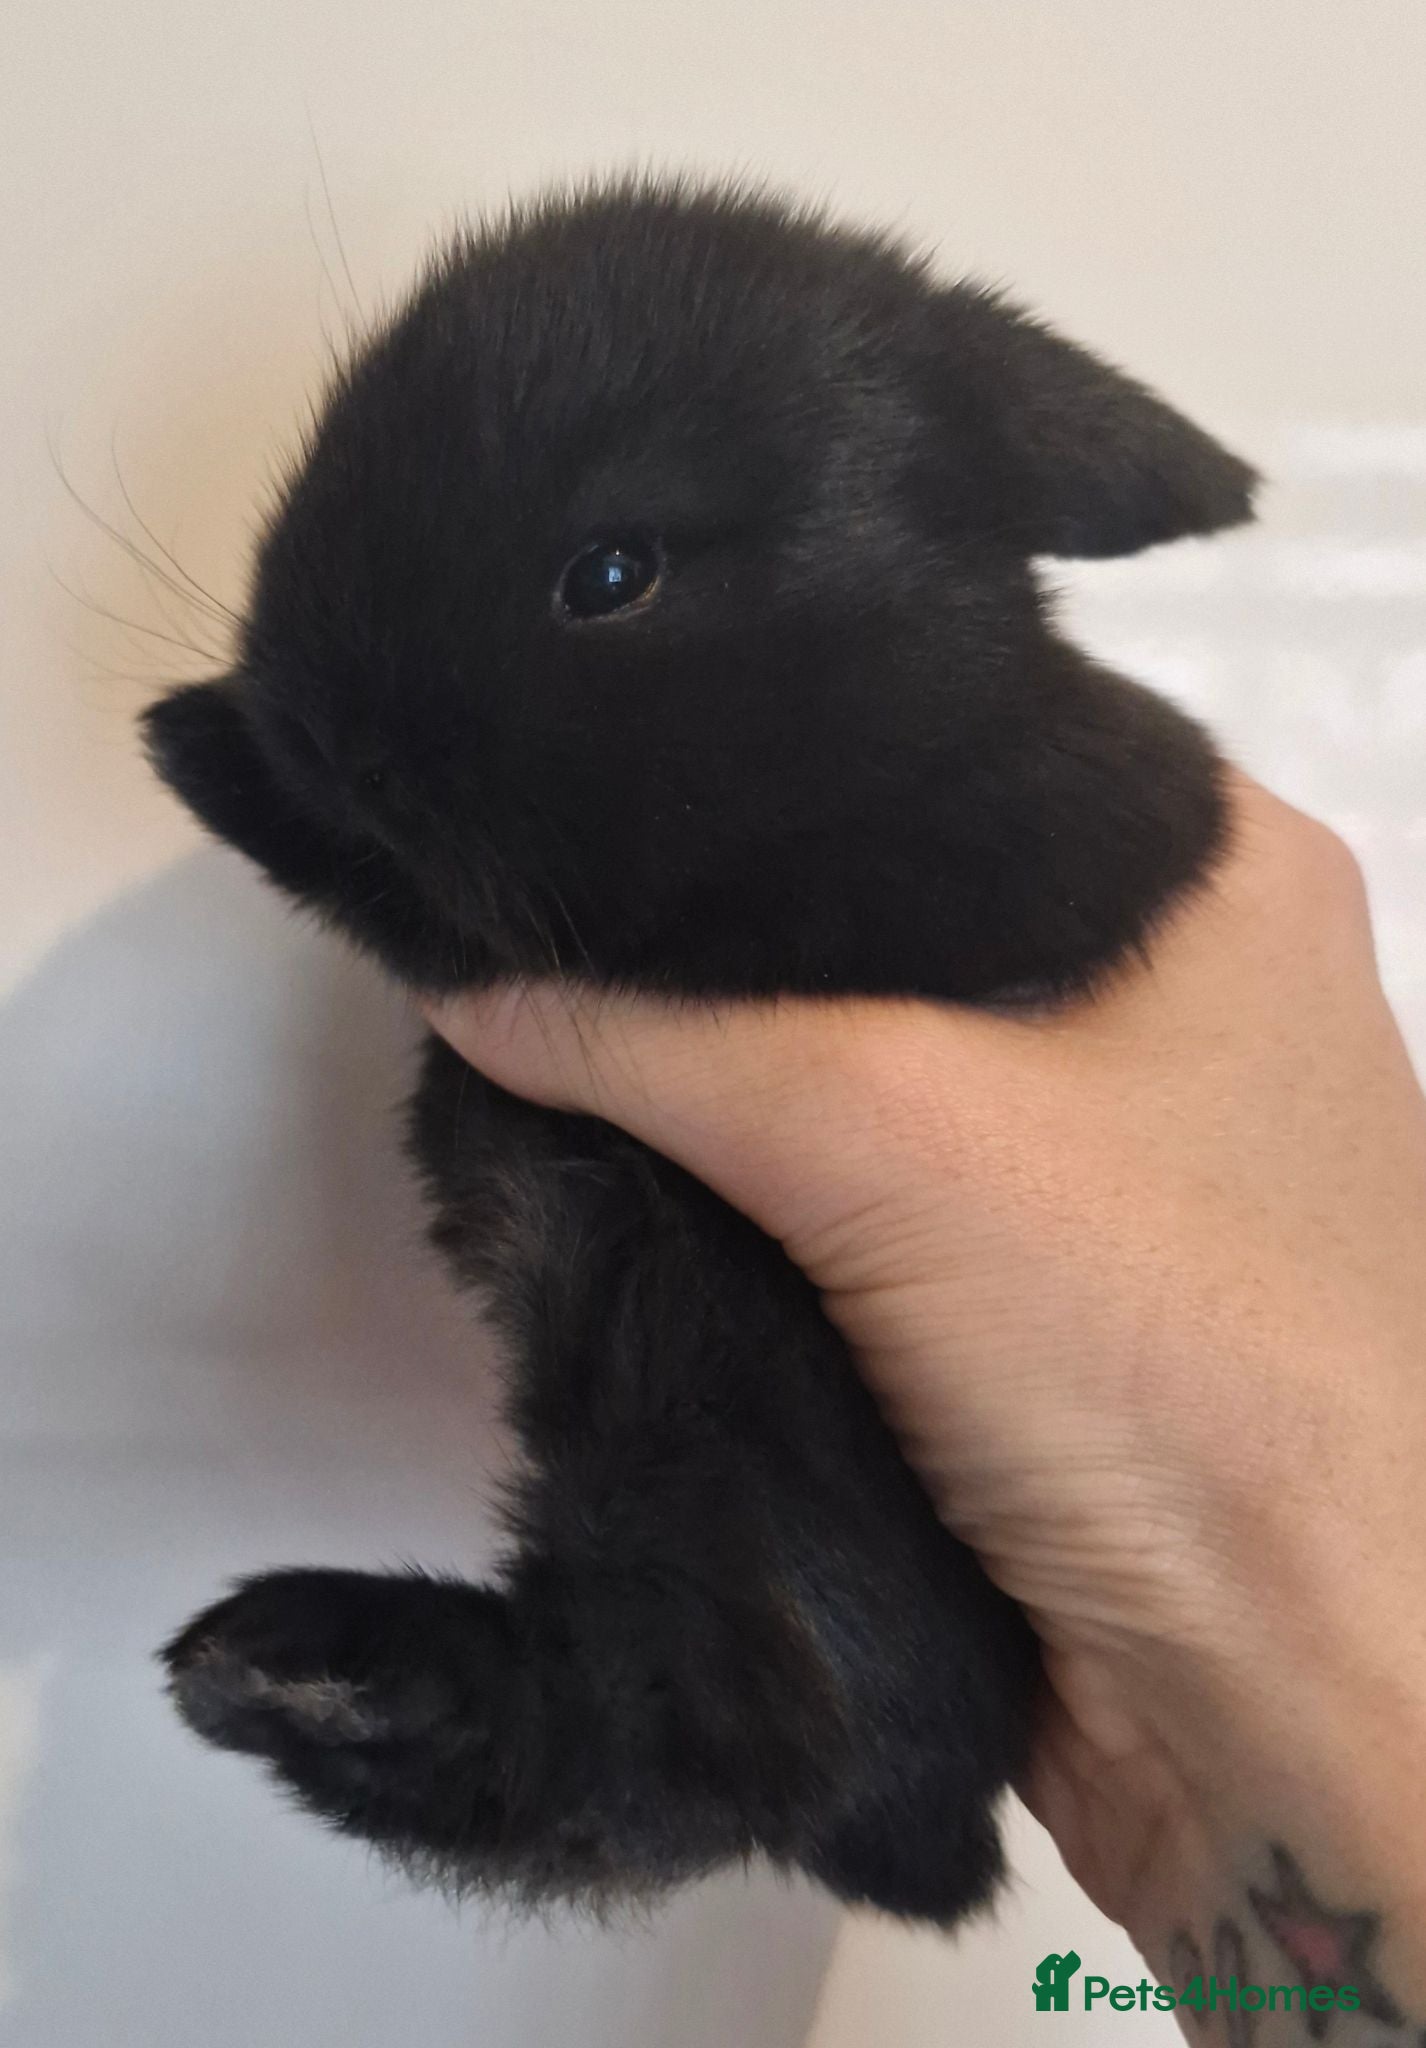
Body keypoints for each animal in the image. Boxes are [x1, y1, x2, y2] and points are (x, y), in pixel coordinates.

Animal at [145, 175, 1255, 1926]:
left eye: (610, 574)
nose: (324, 723)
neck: (912, 726)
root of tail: (930, 1841)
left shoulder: (670, 928)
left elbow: (416, 902)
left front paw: (211, 757)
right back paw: (281, 1669)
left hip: (718, 1441)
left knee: (677, 1747)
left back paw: (295, 1669)